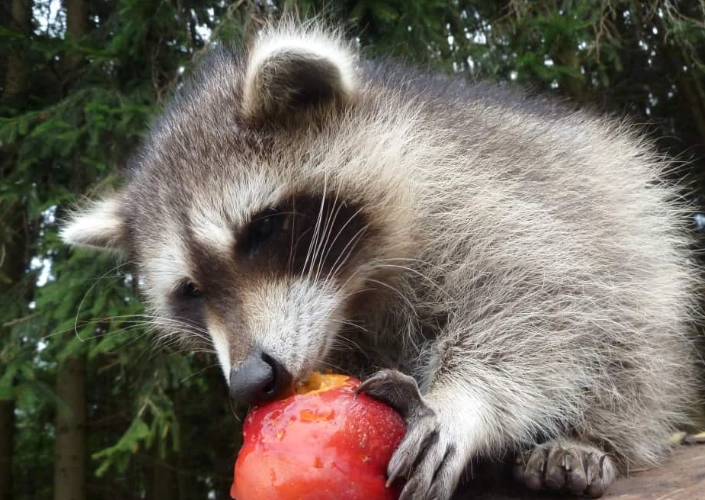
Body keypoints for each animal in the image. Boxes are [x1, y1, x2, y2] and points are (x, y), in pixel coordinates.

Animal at [61, 22, 698, 500]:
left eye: (261, 230)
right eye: (190, 290)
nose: (249, 383)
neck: (353, 288)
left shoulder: (482, 198)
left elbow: (543, 296)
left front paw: (461, 400)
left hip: (630, 226)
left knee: (630, 337)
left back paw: (594, 437)